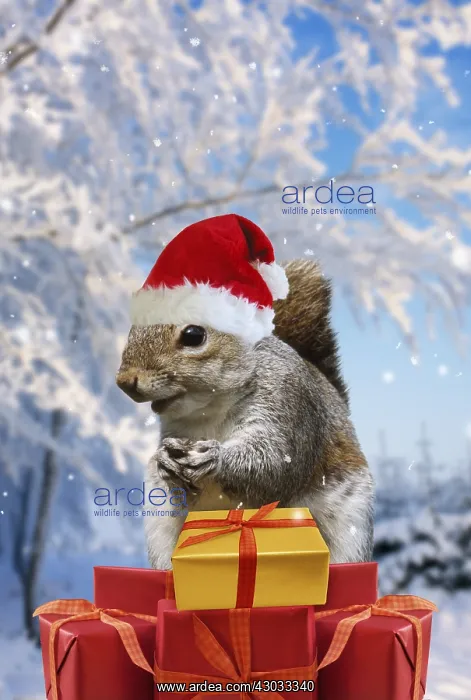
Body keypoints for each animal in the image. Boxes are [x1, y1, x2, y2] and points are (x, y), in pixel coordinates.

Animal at [116, 214, 374, 569]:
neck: (210, 408)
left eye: (194, 335)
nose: (124, 380)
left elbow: (275, 465)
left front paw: (214, 457)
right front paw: (163, 461)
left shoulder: (289, 403)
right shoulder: (175, 429)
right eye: (133, 330)